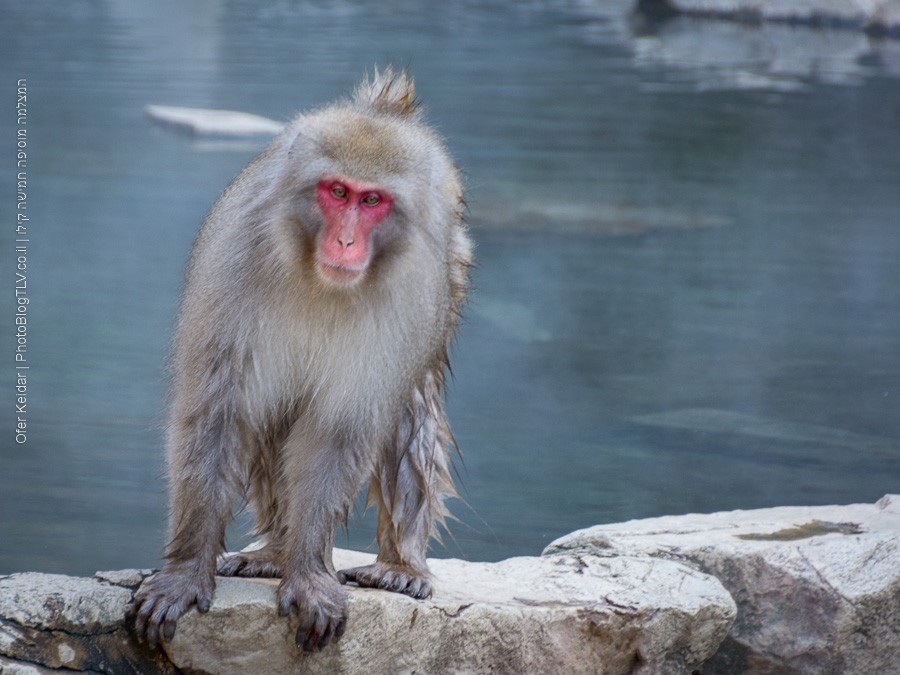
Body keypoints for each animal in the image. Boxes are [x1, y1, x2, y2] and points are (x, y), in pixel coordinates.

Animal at [134, 67, 474, 648]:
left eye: (372, 201)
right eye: (337, 192)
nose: (345, 243)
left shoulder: (411, 295)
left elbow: (339, 430)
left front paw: (311, 576)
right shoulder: (234, 262)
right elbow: (218, 410)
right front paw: (184, 572)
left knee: (411, 407)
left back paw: (400, 564)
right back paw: (276, 551)